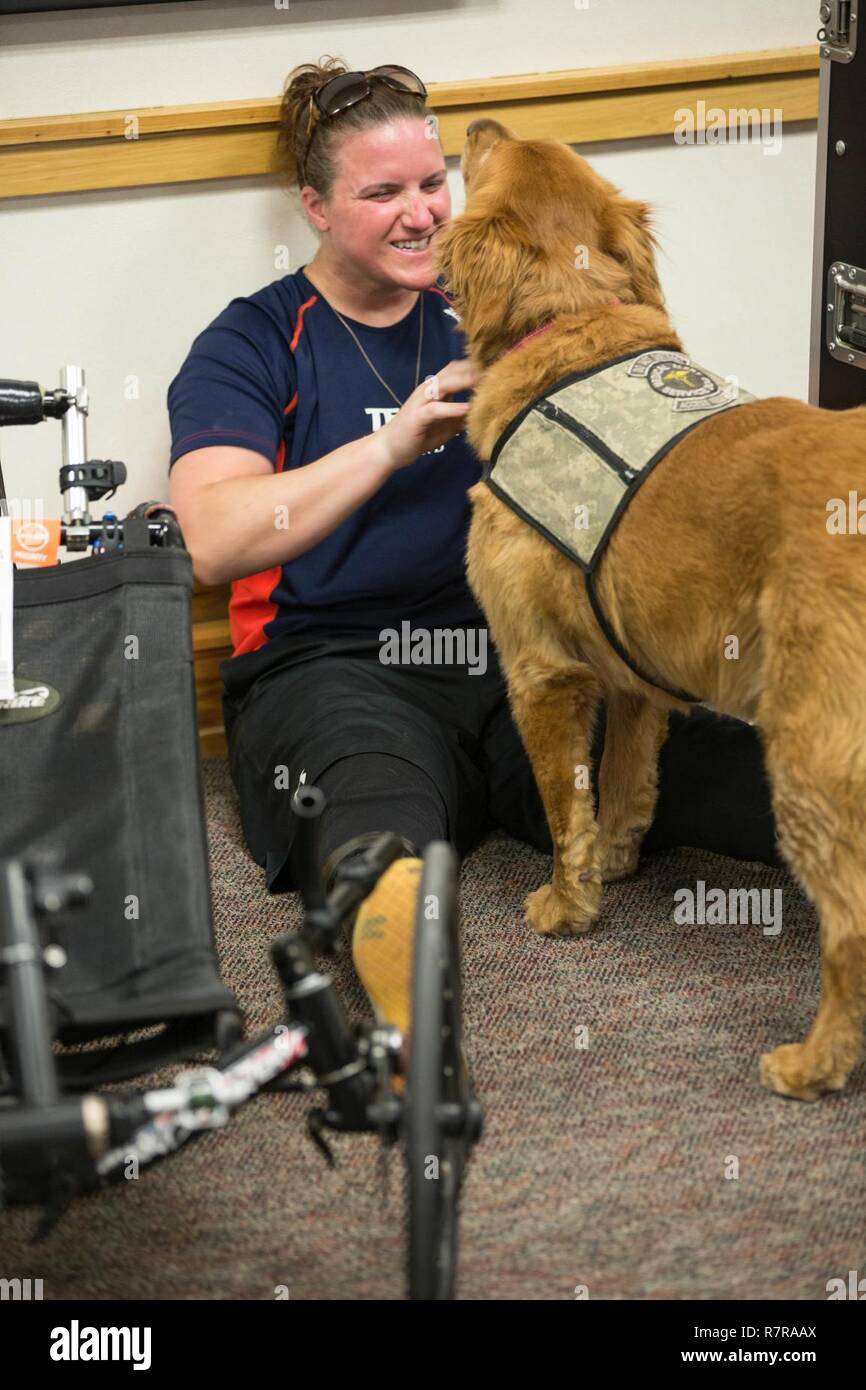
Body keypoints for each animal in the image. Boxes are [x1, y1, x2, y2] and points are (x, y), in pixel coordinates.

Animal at [433, 119, 866, 1095]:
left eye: (489, 155)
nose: (475, 122)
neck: (571, 330)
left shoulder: (540, 671)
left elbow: (564, 804)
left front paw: (566, 904)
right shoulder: (632, 671)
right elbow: (624, 782)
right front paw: (617, 862)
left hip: (812, 763)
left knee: (855, 930)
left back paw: (812, 1063)